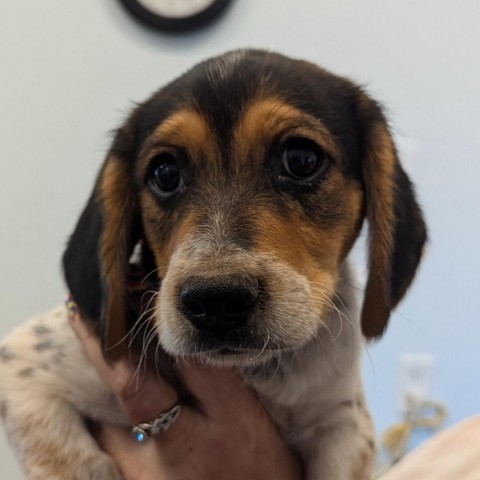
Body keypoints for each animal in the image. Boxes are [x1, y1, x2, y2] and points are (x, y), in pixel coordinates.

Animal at [0, 50, 428, 478]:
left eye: (302, 159)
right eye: (165, 173)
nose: (216, 300)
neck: (254, 372)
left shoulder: (342, 420)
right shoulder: (23, 369)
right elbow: (67, 458)